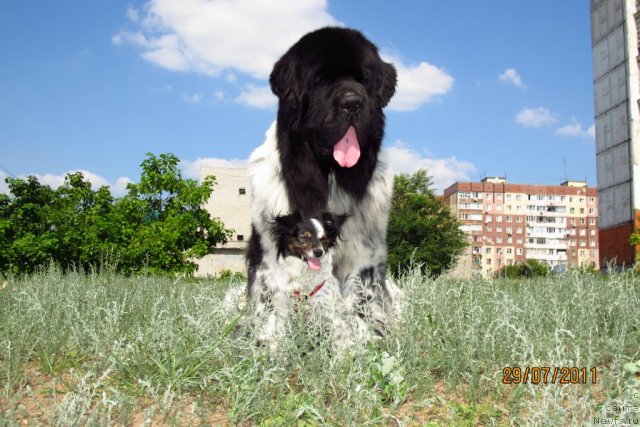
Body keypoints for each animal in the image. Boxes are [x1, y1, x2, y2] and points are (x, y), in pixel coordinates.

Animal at [248, 25, 398, 342]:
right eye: (321, 81)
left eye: (364, 80)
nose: (352, 103)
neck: (328, 178)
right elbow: (269, 297)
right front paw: (267, 340)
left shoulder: (364, 255)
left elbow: (359, 300)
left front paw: (363, 342)